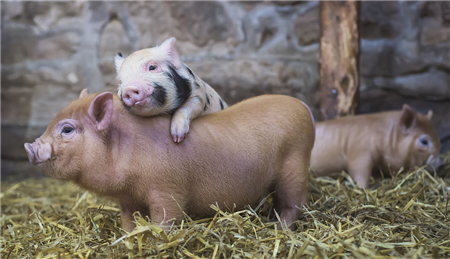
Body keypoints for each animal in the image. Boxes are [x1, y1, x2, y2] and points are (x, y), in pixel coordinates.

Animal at [23, 91, 312, 232]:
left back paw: (280, 230)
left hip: (295, 166)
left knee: (293, 204)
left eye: (67, 129)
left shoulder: (167, 189)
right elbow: (128, 221)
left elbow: (166, 217)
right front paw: (128, 236)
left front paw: (157, 236)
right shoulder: (128, 198)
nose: (30, 146)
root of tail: (303, 106)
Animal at [312, 104, 444, 188]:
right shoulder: (360, 153)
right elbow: (360, 173)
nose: (442, 163)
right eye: (424, 141)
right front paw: (365, 188)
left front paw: (376, 183)